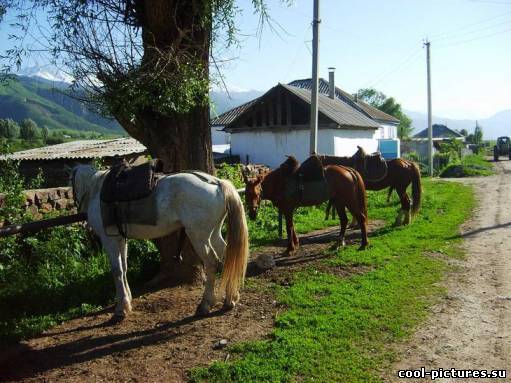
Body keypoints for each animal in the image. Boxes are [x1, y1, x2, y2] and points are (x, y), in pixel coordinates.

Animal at [71, 166, 249, 320]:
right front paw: (127, 301)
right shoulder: (121, 239)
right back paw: (230, 299)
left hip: (199, 236)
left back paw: (205, 305)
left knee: (212, 263)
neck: (96, 188)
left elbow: (117, 271)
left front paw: (121, 309)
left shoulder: (110, 240)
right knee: (227, 255)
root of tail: (216, 182)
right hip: (212, 233)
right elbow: (124, 268)